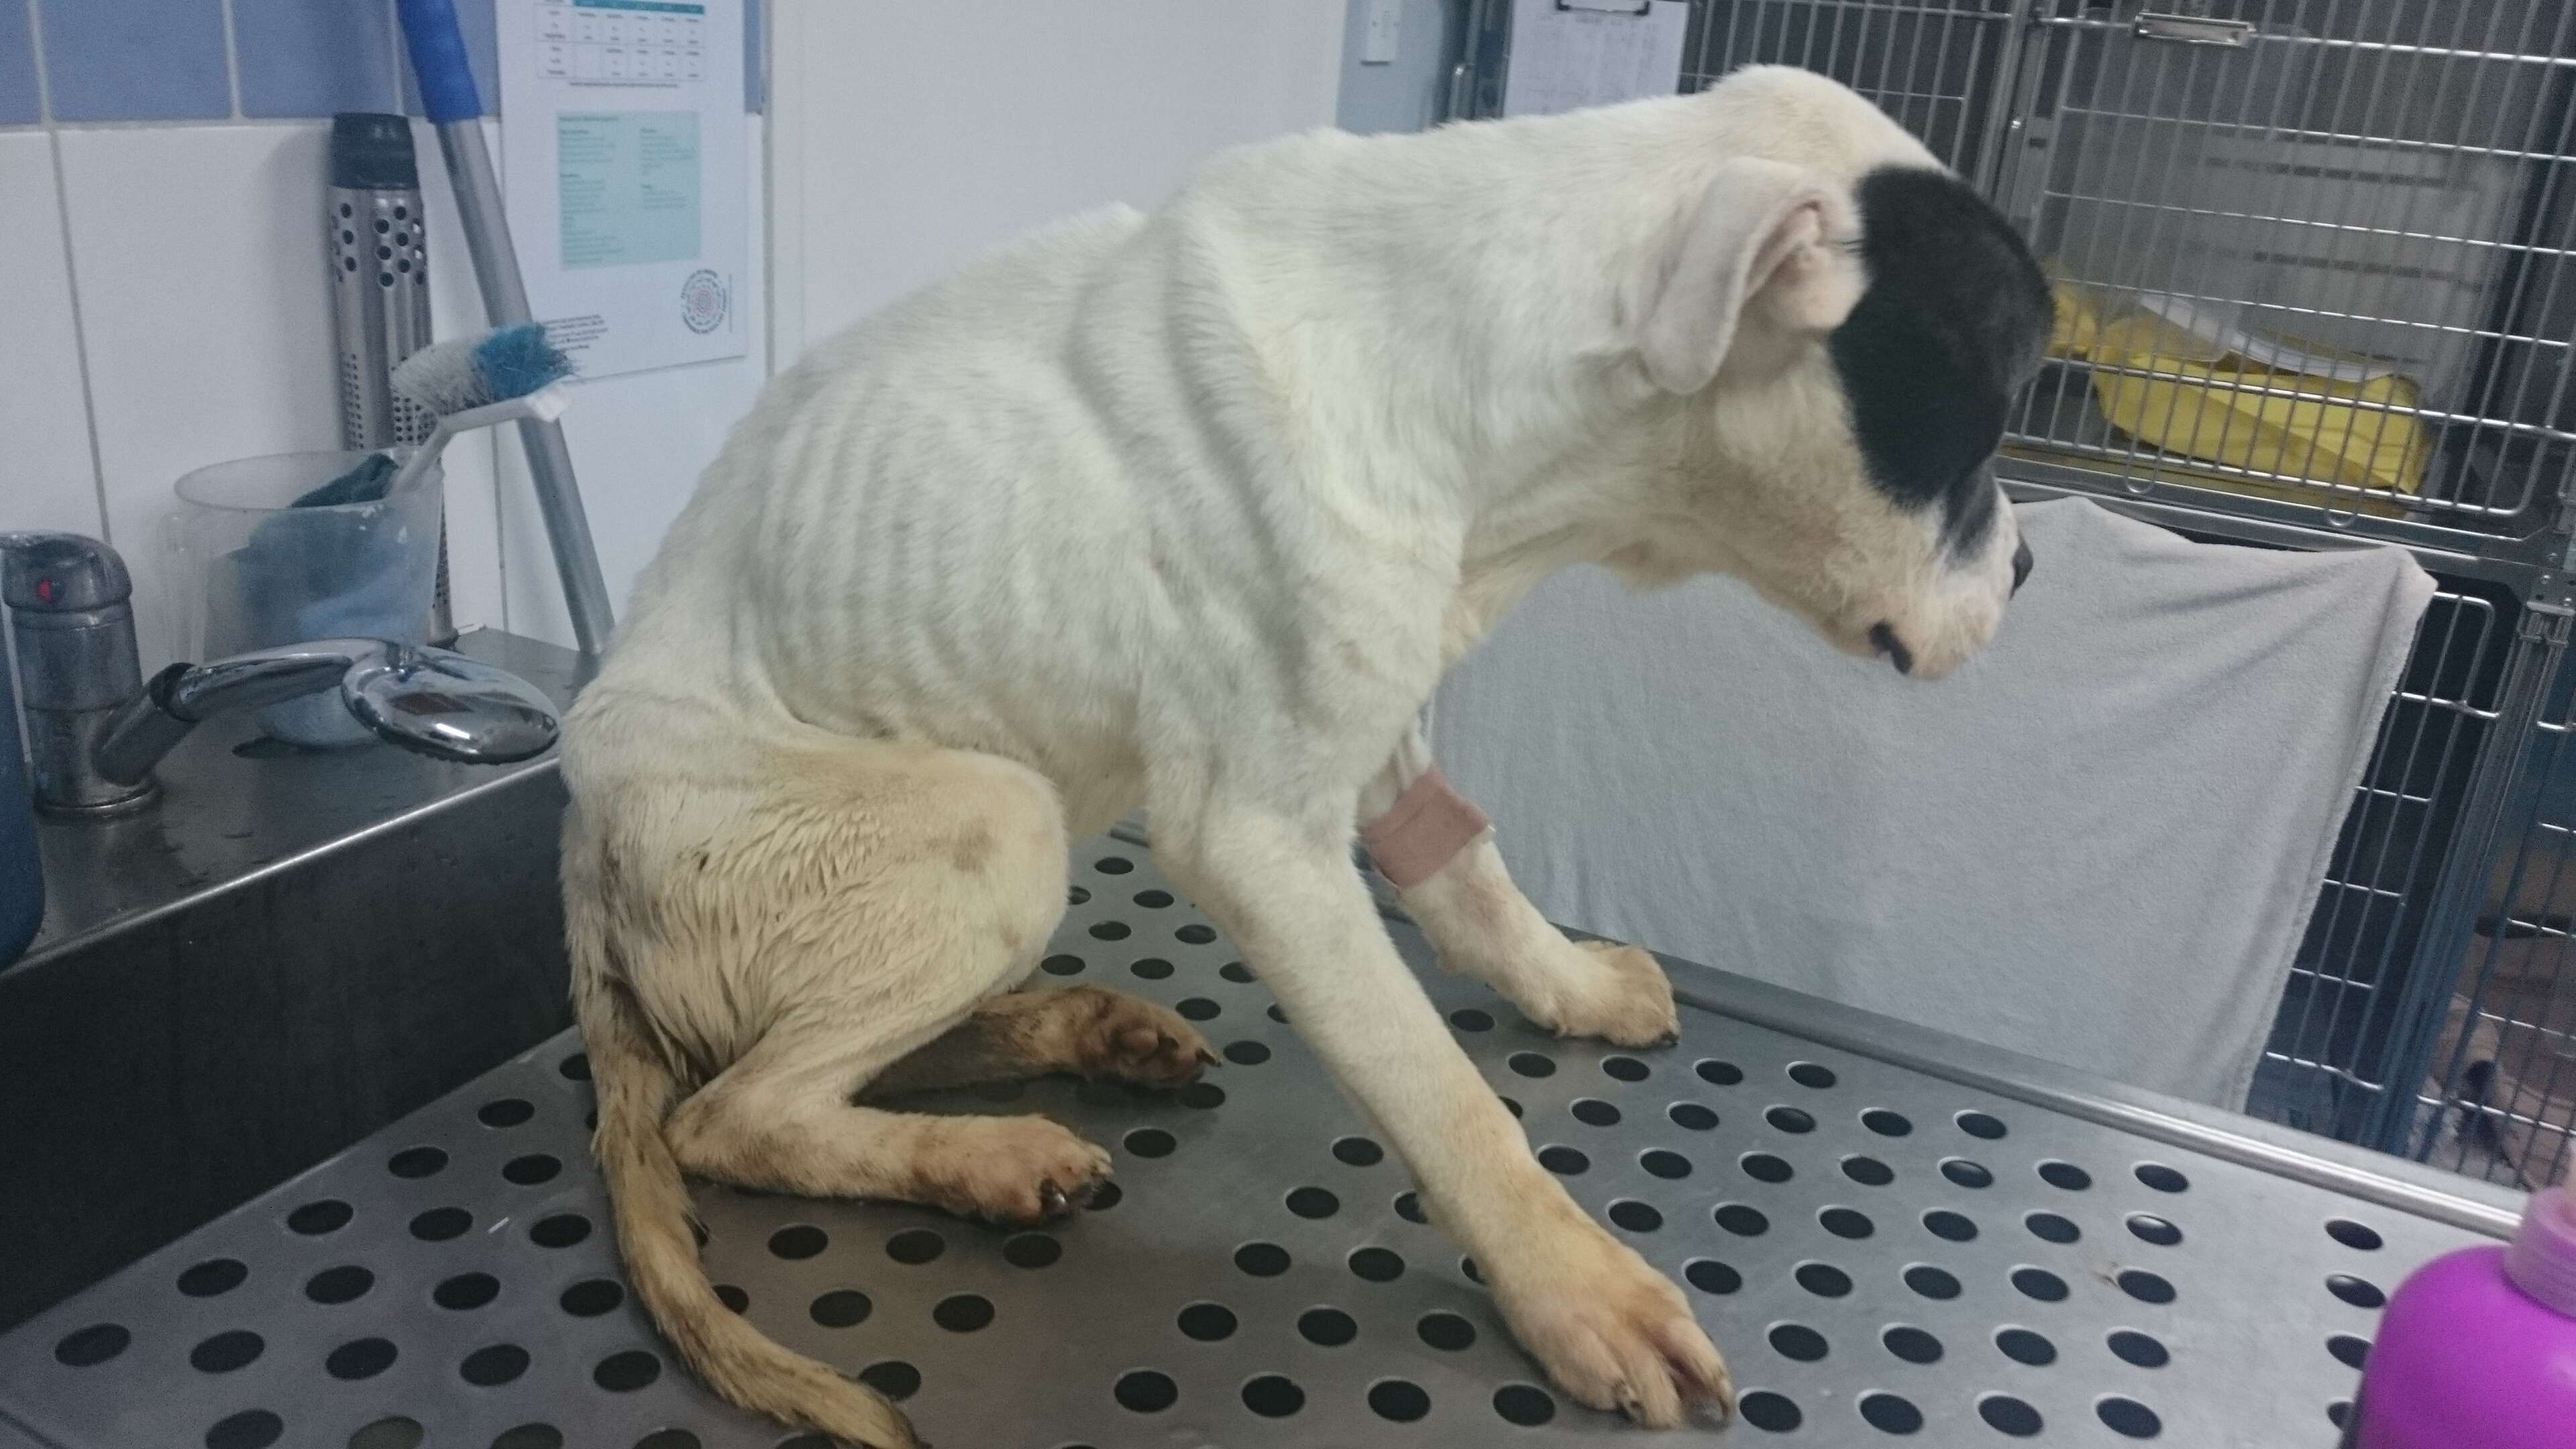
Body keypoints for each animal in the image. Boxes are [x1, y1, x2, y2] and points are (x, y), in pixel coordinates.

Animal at [569, 67, 2050, 1444]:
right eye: (1974, 430)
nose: (2032, 568)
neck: (1472, 359)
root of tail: (583, 861)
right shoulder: (1261, 844)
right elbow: (1445, 1097)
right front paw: (1574, 1289)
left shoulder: (1381, 722)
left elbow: (1473, 882)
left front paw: (1568, 986)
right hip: (996, 830)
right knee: (737, 1112)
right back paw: (981, 1158)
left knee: (828, 1062)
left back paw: (1075, 1038)